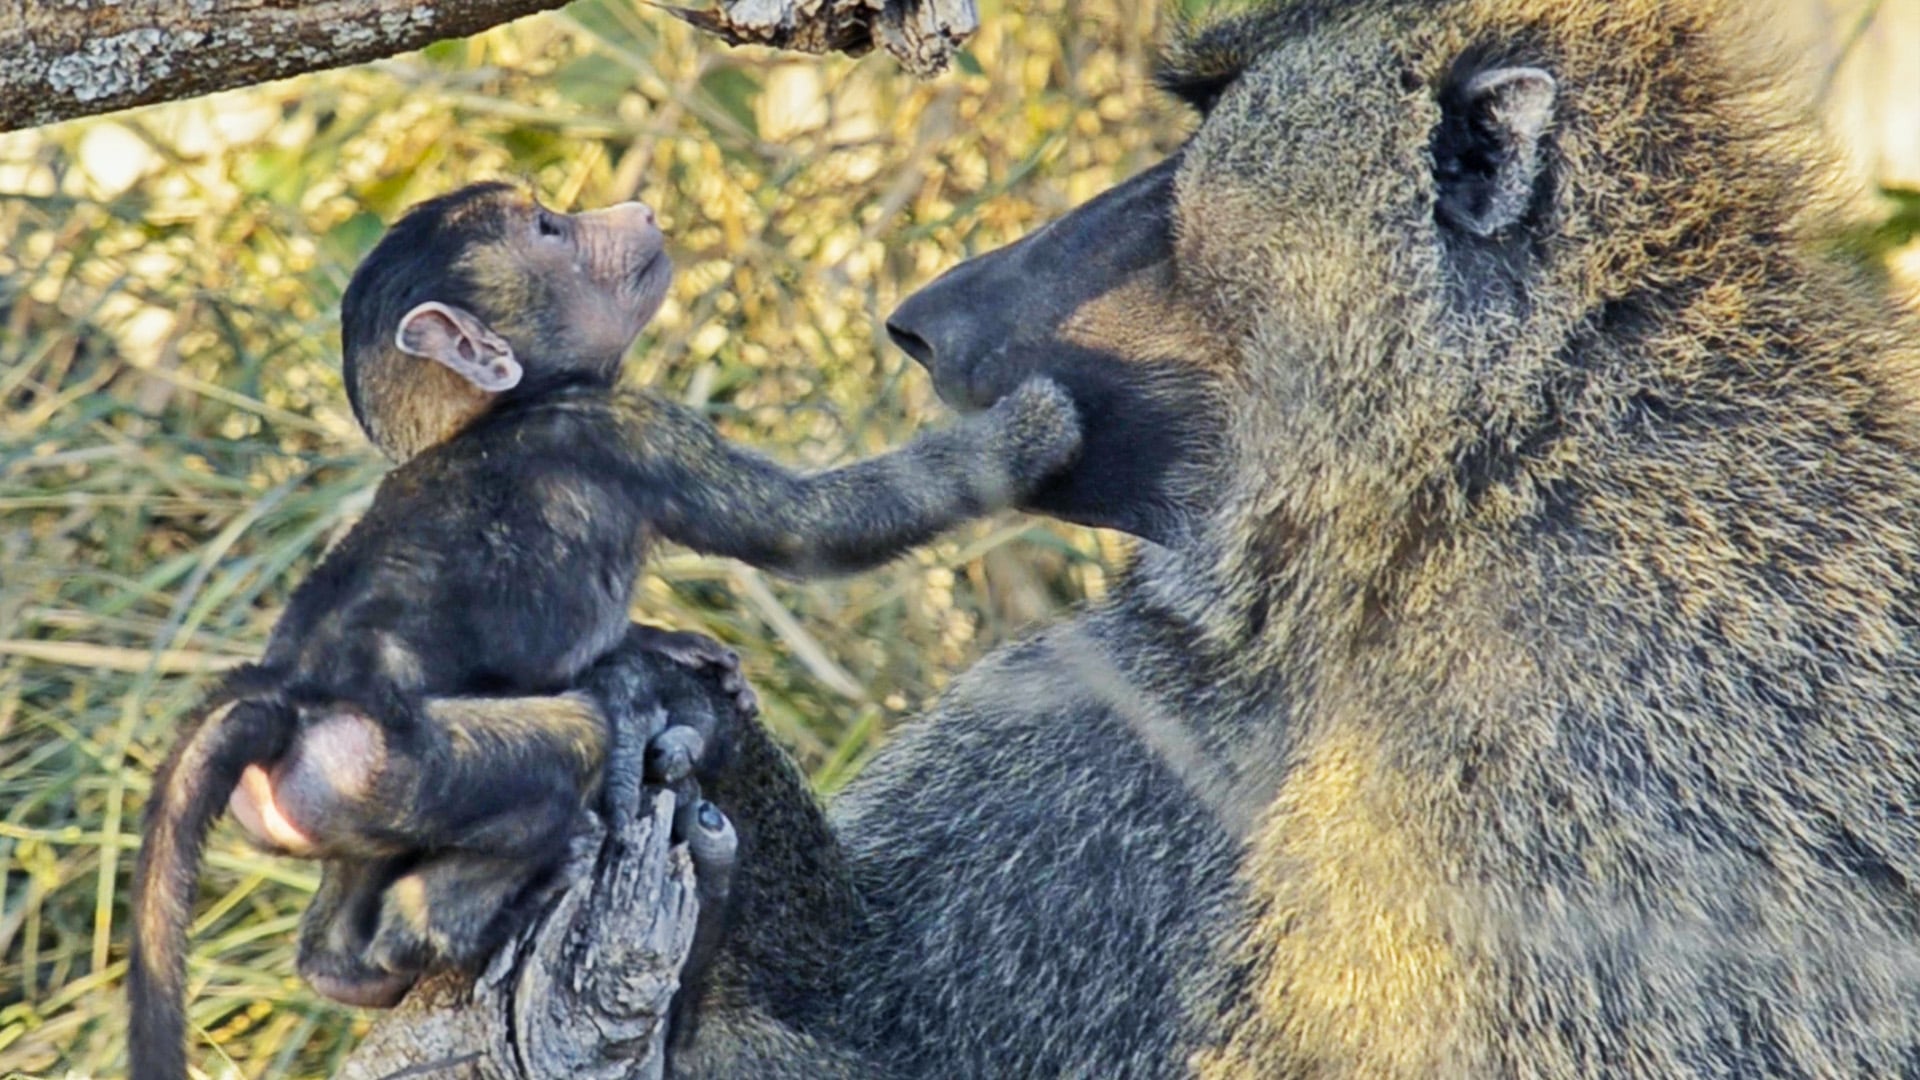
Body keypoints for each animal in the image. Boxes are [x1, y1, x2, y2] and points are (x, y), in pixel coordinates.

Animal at [128, 180, 1084, 1080]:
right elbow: (815, 524)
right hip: (378, 763)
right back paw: (442, 921)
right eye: (550, 230)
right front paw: (1031, 429)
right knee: (567, 744)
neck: (496, 412)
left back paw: (345, 967)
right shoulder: (633, 427)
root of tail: (292, 691)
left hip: (331, 796)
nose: (637, 210)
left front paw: (663, 650)